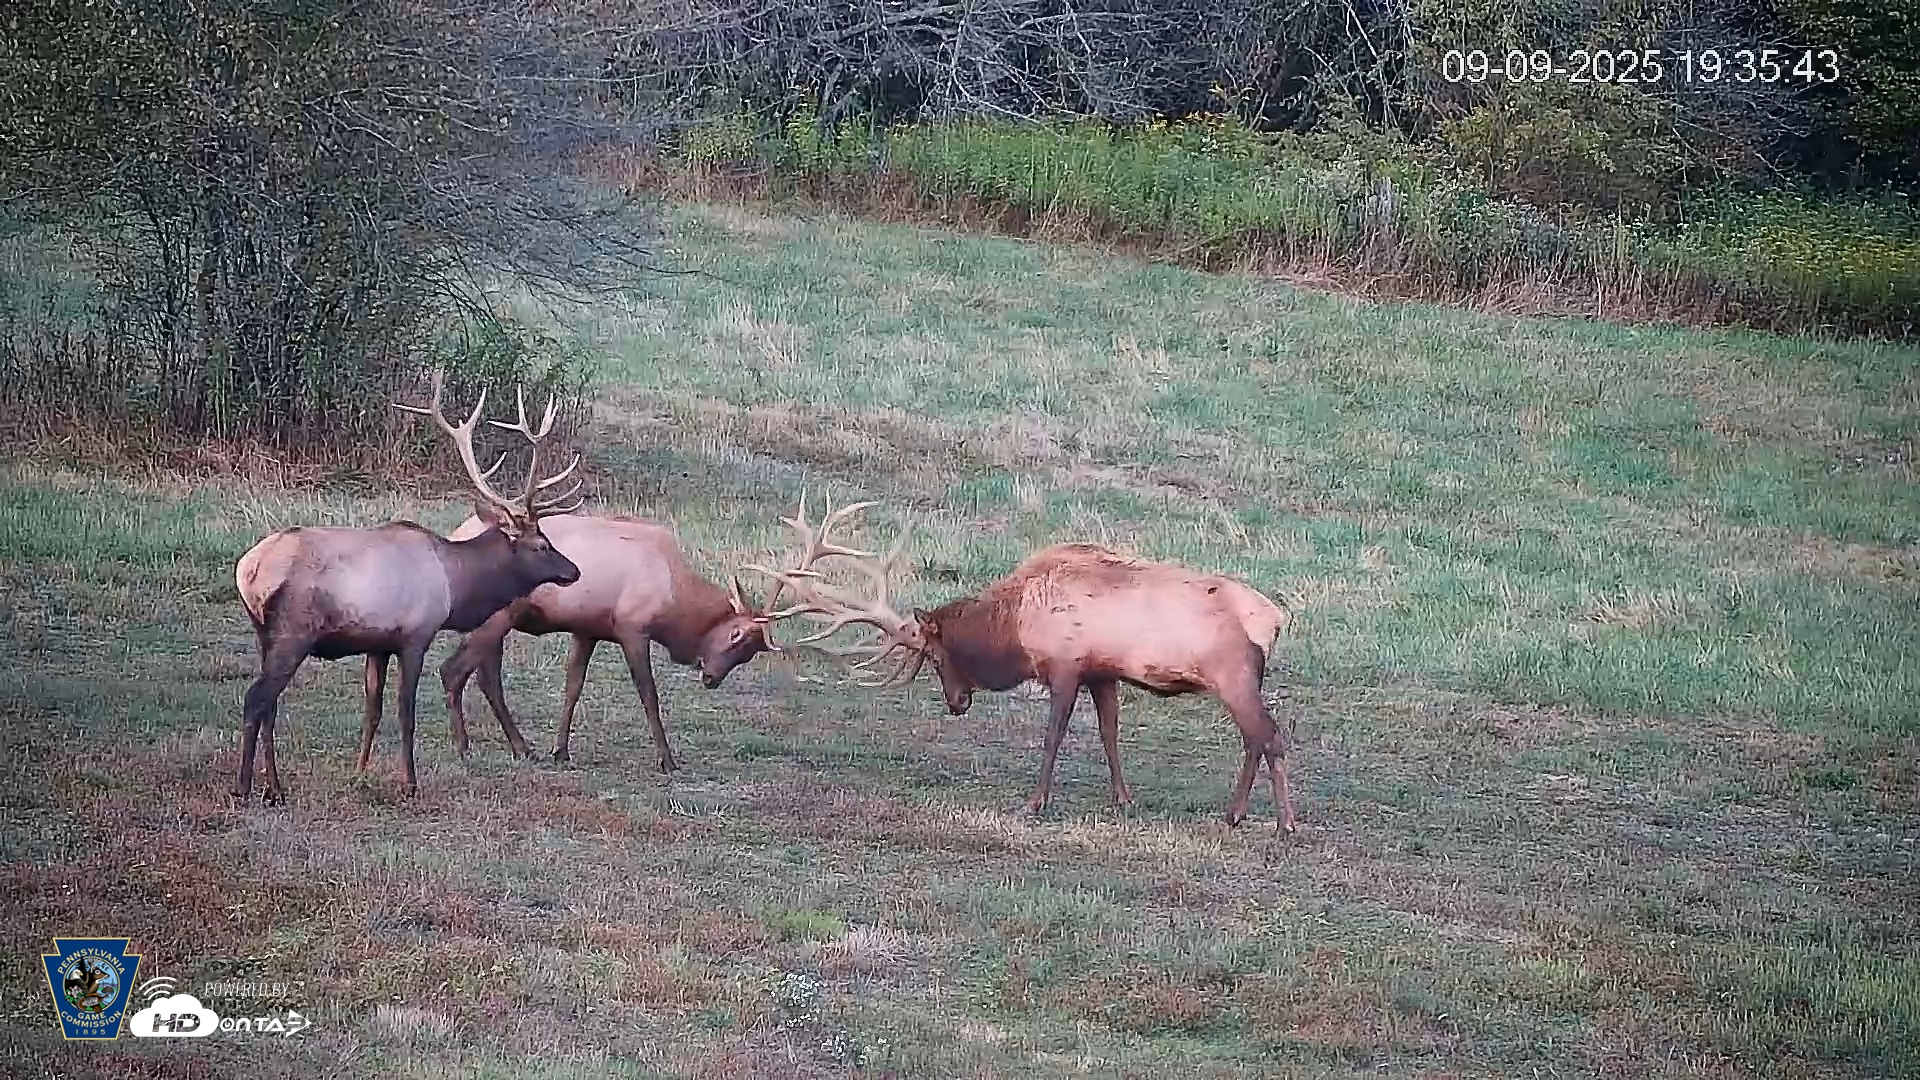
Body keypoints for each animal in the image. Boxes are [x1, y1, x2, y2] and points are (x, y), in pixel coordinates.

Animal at [231, 370, 586, 803]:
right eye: (542, 544)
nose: (574, 571)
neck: (455, 584)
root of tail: (250, 570)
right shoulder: (416, 634)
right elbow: (405, 711)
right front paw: (409, 782)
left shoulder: (377, 644)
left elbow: (372, 710)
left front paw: (359, 772)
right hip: (293, 632)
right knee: (257, 699)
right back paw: (246, 786)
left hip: (263, 634)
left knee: (270, 705)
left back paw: (275, 788)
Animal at [435, 491, 875, 769]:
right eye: (736, 636)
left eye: (752, 652)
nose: (711, 678)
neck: (673, 599)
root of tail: (456, 533)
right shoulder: (632, 627)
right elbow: (649, 695)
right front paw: (667, 759)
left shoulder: (587, 629)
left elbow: (573, 686)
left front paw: (560, 750)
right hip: (499, 616)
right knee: (468, 671)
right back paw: (483, 747)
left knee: (483, 673)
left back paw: (517, 746)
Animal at [746, 514, 1299, 832]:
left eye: (937, 656)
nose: (956, 703)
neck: (1014, 626)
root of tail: (1275, 619)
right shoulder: (1102, 671)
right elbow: (1110, 733)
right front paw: (1124, 799)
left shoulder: (1065, 666)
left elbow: (1054, 735)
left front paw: (1035, 803)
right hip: (1244, 681)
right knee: (1255, 738)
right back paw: (1235, 813)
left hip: (1232, 675)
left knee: (1270, 737)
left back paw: (1284, 824)